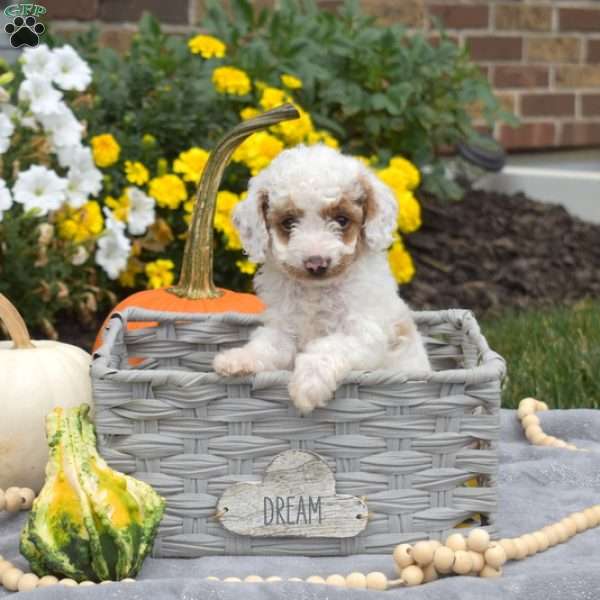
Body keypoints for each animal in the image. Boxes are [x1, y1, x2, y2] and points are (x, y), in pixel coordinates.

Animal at [213, 143, 428, 412]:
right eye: (289, 222)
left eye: (341, 220)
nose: (316, 263)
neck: (315, 291)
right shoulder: (283, 328)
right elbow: (266, 344)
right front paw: (237, 358)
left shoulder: (366, 334)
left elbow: (327, 346)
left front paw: (308, 386)